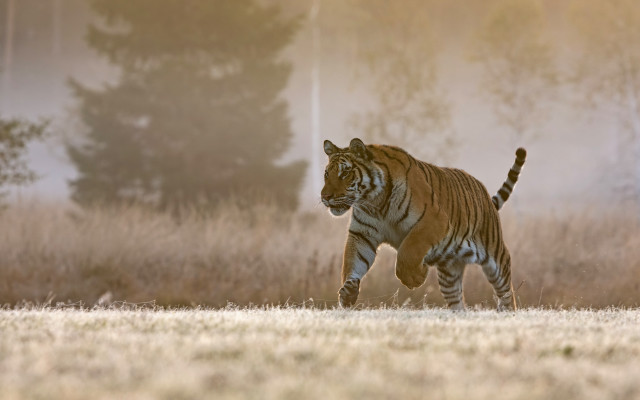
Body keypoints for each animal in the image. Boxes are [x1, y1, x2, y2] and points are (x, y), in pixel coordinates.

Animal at [320, 138, 526, 311]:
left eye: (345, 173)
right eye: (326, 174)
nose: (325, 196)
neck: (374, 202)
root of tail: (484, 193)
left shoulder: (433, 220)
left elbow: (408, 252)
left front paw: (416, 277)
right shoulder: (362, 235)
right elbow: (352, 262)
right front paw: (348, 293)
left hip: (496, 257)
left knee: (506, 292)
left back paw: (507, 312)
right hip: (449, 272)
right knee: (458, 302)